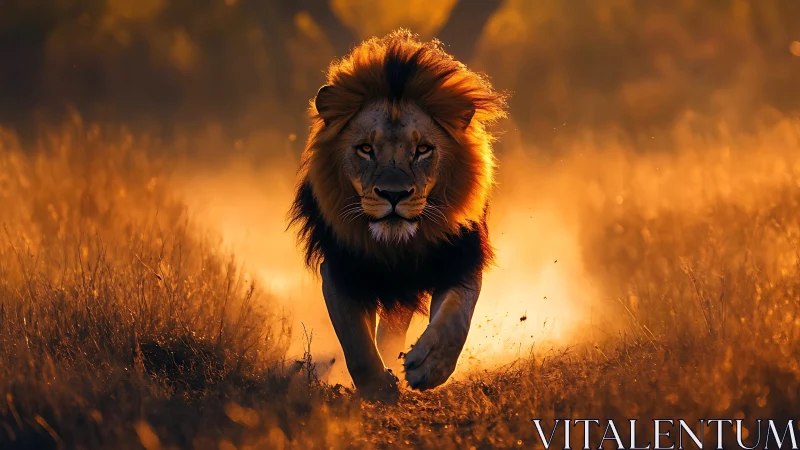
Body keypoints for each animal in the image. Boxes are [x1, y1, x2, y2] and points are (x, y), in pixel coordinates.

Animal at [289, 30, 507, 401]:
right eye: (366, 149)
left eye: (423, 150)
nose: (394, 195)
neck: (396, 246)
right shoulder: (341, 270)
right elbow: (355, 341)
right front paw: (378, 387)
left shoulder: (461, 258)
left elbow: (455, 317)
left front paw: (429, 366)